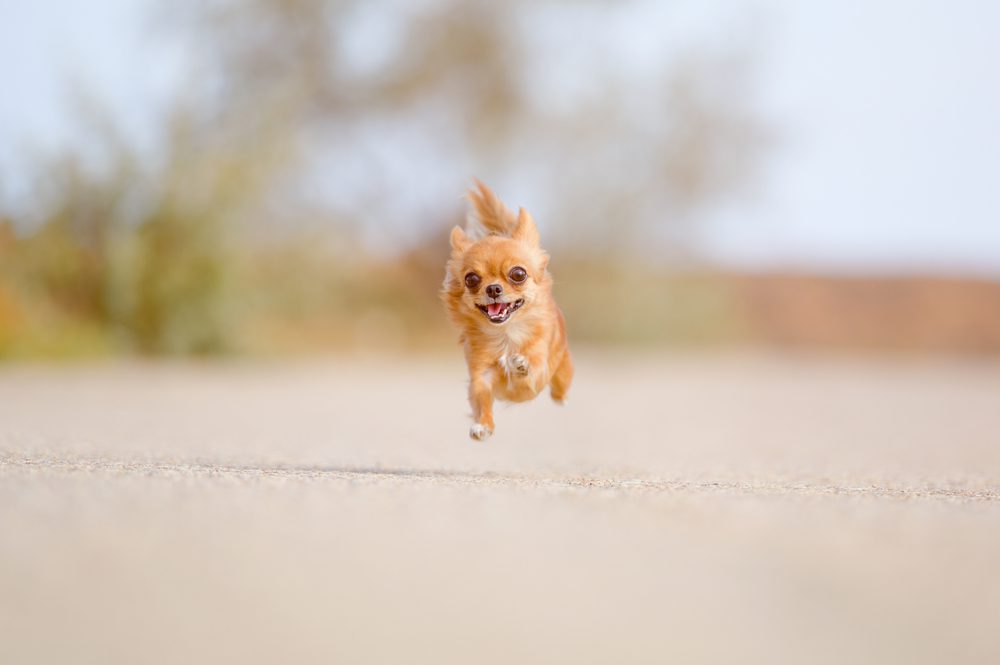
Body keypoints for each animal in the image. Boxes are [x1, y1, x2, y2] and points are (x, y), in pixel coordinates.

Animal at [444, 182, 576, 440]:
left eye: (518, 274)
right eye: (471, 279)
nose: (494, 288)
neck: (505, 334)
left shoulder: (538, 375)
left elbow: (527, 373)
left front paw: (518, 364)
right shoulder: (481, 376)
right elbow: (482, 400)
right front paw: (483, 424)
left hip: (562, 365)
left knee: (561, 385)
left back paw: (561, 396)